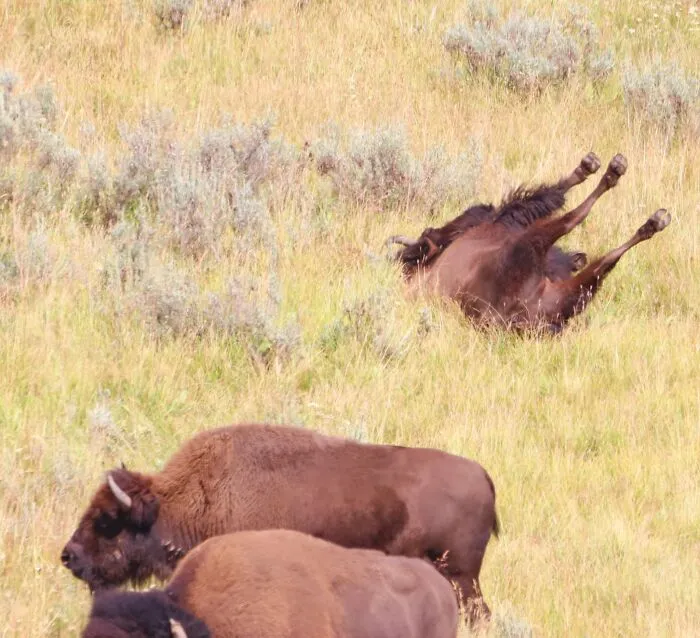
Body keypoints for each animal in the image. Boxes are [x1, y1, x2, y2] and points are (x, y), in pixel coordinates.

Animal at [388, 152, 671, 333]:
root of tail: (505, 319)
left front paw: (587, 167)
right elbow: (542, 199)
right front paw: (587, 168)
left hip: (565, 293)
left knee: (599, 263)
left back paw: (650, 221)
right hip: (531, 248)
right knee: (570, 221)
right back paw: (617, 178)